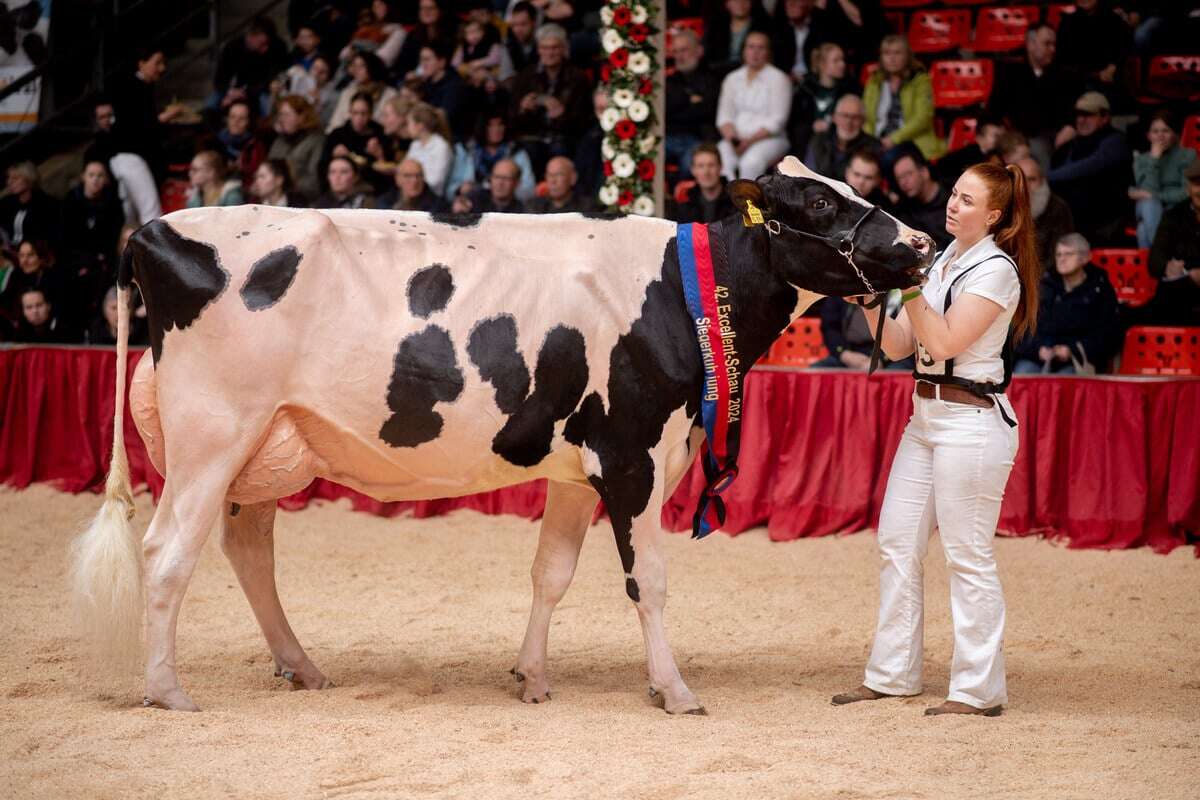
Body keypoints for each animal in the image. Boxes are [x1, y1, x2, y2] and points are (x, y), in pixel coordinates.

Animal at [72, 154, 936, 714]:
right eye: (817, 205)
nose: (923, 244)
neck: (684, 289)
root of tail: (151, 230)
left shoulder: (576, 467)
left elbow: (550, 573)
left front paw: (532, 677)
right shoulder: (633, 457)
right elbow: (648, 582)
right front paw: (675, 689)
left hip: (267, 443)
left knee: (248, 551)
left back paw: (302, 667)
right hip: (212, 433)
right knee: (168, 553)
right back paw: (167, 690)